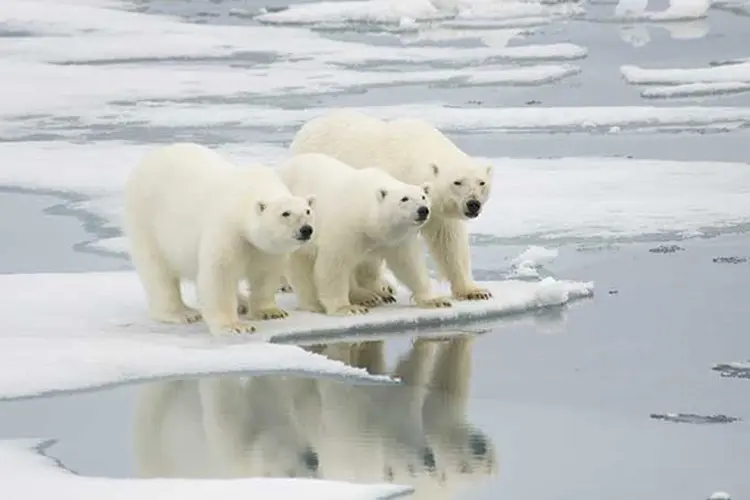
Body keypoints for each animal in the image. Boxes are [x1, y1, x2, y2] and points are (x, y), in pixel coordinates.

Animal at [122, 142, 314, 336]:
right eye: (285, 213)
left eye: (307, 211)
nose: (306, 230)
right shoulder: (227, 230)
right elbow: (220, 275)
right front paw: (235, 326)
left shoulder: (264, 249)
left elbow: (265, 272)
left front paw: (271, 312)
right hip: (146, 222)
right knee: (158, 272)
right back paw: (183, 313)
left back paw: (242, 303)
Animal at [280, 153, 450, 316]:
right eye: (404, 199)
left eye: (423, 197)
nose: (423, 210)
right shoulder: (345, 230)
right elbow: (334, 266)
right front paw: (347, 308)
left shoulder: (397, 238)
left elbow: (409, 264)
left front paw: (435, 300)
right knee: (301, 266)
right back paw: (315, 303)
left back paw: (374, 295)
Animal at [290, 110, 496, 300]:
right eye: (457, 182)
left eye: (481, 183)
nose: (473, 204)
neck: (411, 157)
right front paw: (375, 289)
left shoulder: (437, 212)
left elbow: (449, 241)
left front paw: (474, 291)